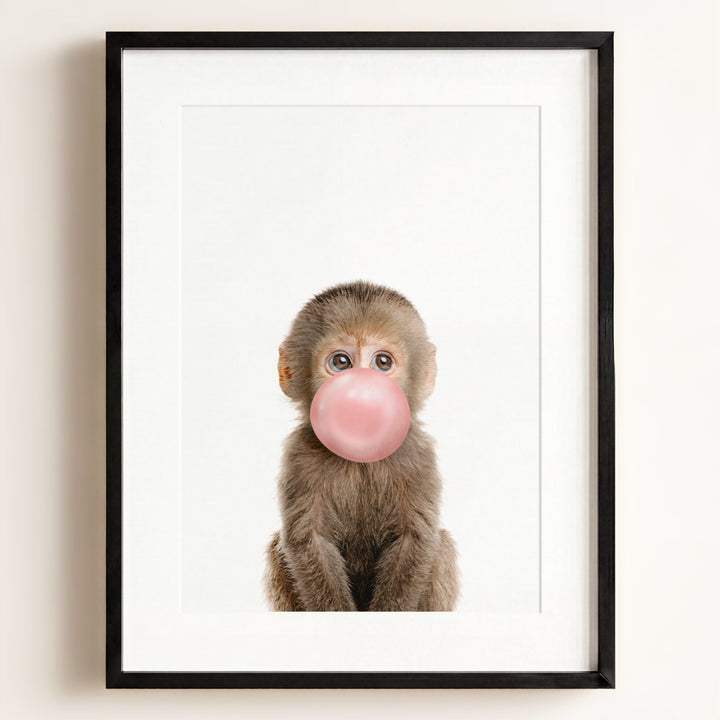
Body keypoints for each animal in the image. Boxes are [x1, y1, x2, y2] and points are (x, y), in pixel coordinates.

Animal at [265, 280, 458, 611]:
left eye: (382, 362)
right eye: (341, 362)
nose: (362, 388)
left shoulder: (418, 454)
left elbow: (415, 539)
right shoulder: (299, 455)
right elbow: (309, 540)